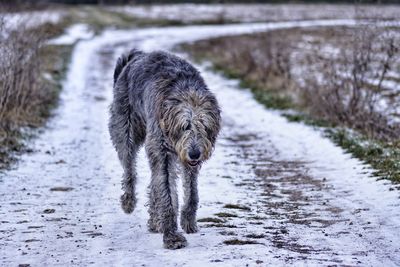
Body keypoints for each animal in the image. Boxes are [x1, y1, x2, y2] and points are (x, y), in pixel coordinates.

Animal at [108, 49, 222, 250]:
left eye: (203, 126)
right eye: (185, 126)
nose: (195, 154)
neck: (185, 90)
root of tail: (136, 57)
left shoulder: (187, 160)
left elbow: (191, 193)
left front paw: (187, 221)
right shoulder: (163, 151)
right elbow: (167, 195)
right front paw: (172, 237)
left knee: (154, 182)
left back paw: (155, 220)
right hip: (125, 131)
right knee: (130, 170)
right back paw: (129, 202)